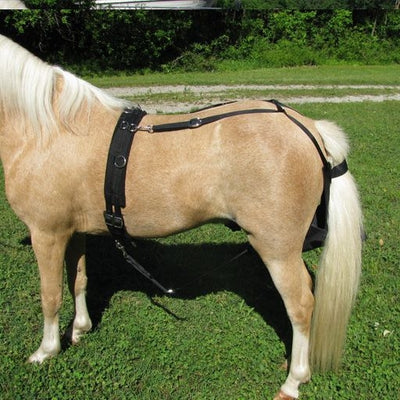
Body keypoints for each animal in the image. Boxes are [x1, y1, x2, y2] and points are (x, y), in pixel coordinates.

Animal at [0, 34, 363, 400]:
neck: (49, 129)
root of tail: (308, 127)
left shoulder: (46, 233)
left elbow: (50, 295)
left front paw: (46, 350)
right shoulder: (72, 232)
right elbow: (78, 280)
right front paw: (79, 329)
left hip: (277, 249)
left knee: (301, 304)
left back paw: (293, 381)